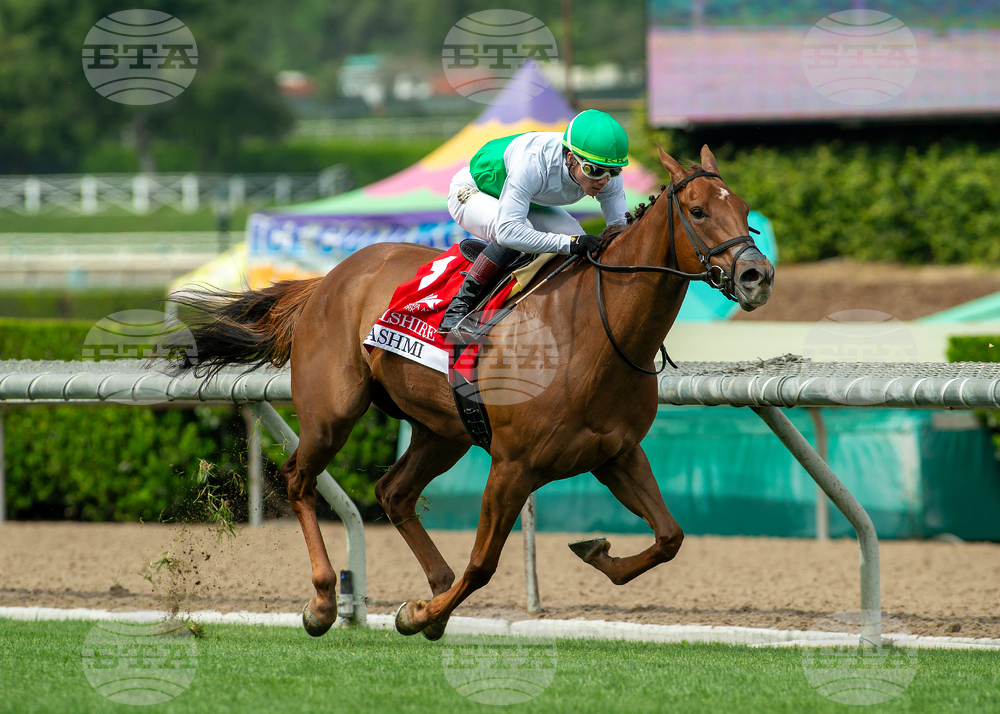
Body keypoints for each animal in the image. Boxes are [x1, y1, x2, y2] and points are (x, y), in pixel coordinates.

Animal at [174, 145, 774, 639]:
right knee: (300, 477)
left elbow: (670, 537)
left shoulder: (617, 453)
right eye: (697, 211)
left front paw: (595, 550)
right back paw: (324, 603)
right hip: (332, 412)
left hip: (445, 430)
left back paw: (431, 585)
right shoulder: (513, 465)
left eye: (747, 211)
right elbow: (483, 565)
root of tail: (327, 280)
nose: (757, 275)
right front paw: (417, 614)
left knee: (393, 492)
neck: (592, 330)